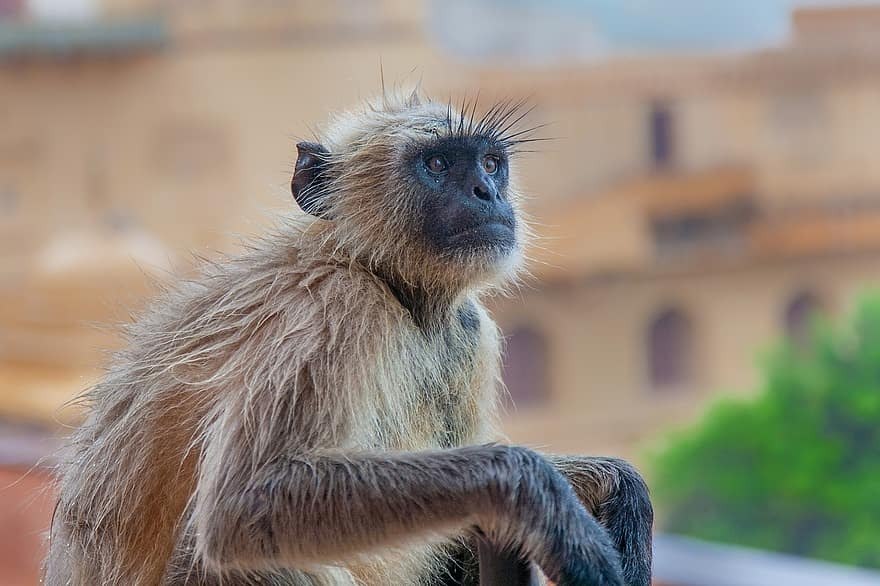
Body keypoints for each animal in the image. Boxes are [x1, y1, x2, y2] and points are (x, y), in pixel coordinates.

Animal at [46, 88, 652, 584]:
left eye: (490, 164)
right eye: (437, 163)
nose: (486, 193)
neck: (384, 279)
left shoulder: (466, 331)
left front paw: (618, 490)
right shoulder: (333, 305)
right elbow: (246, 501)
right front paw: (539, 495)